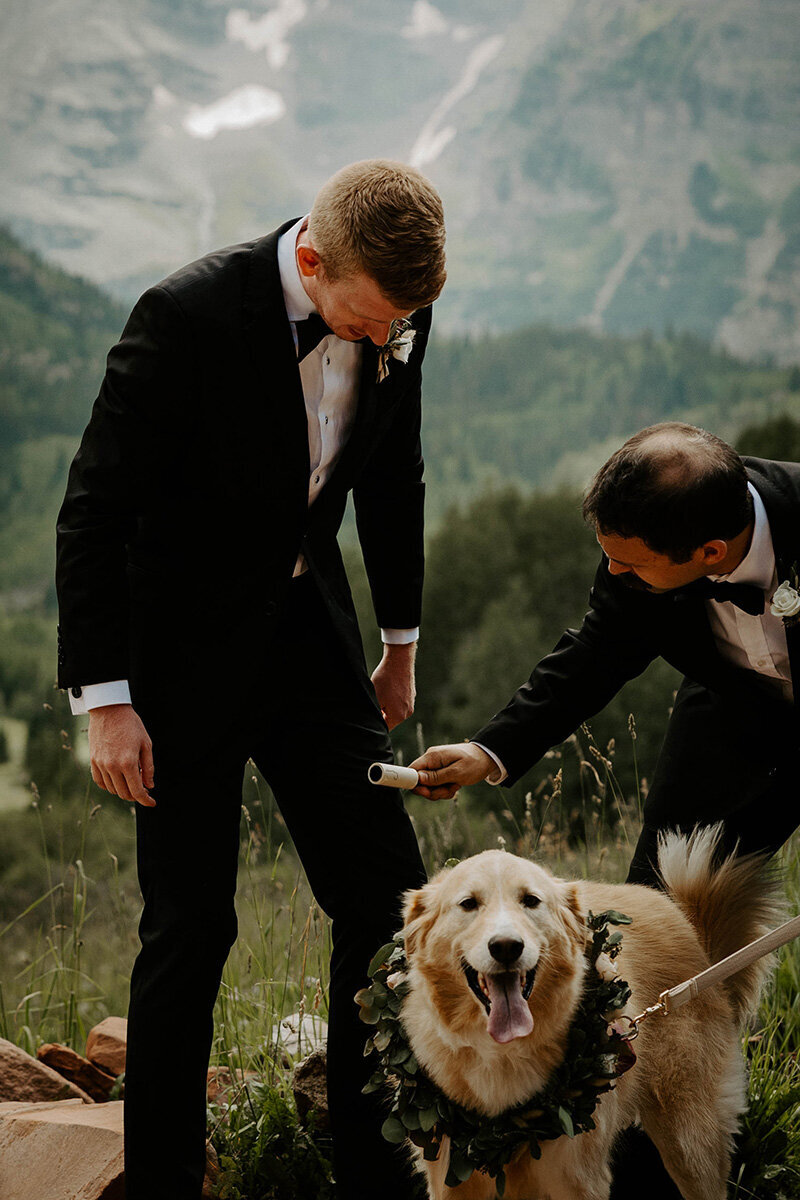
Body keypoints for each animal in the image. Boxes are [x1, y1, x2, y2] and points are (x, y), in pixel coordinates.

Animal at [400, 830, 782, 1200]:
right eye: (468, 904)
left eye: (530, 901)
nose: (507, 947)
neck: (502, 1055)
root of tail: (690, 928)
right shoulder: (450, 1180)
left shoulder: (578, 1179)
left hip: (690, 1144)